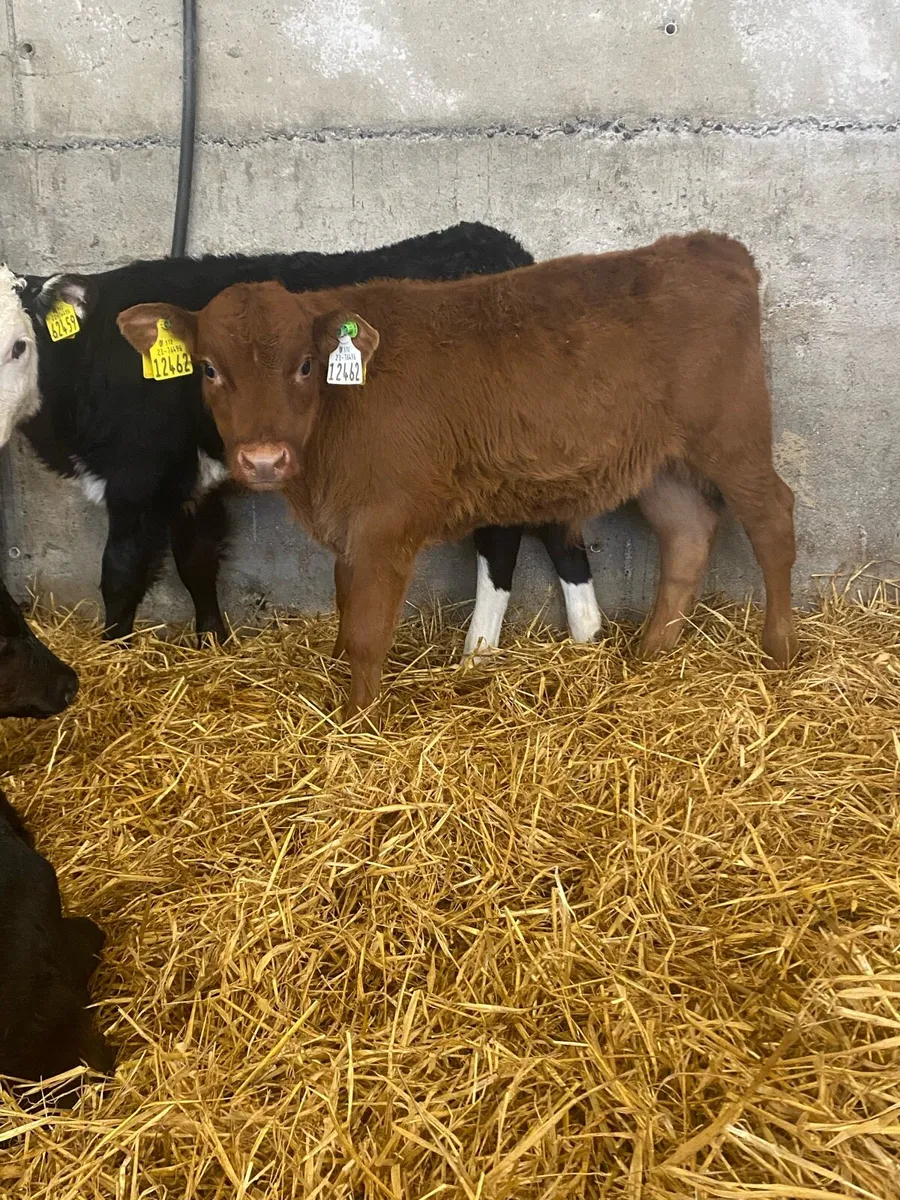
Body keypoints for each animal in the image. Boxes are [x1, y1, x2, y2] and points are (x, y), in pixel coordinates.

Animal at [3, 223, 600, 653]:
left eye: (17, 344)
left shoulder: (136, 479)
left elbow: (120, 573)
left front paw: (114, 658)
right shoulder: (192, 483)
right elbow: (196, 562)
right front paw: (214, 644)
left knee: (500, 539)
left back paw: (478, 650)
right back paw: (585, 637)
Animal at [118, 231, 799, 719]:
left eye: (306, 364)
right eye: (208, 368)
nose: (263, 459)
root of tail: (710, 247)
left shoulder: (385, 524)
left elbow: (366, 629)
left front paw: (358, 724)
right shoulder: (350, 526)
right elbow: (344, 604)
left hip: (732, 434)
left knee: (773, 517)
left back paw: (780, 649)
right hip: (661, 460)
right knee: (688, 531)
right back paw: (651, 652)